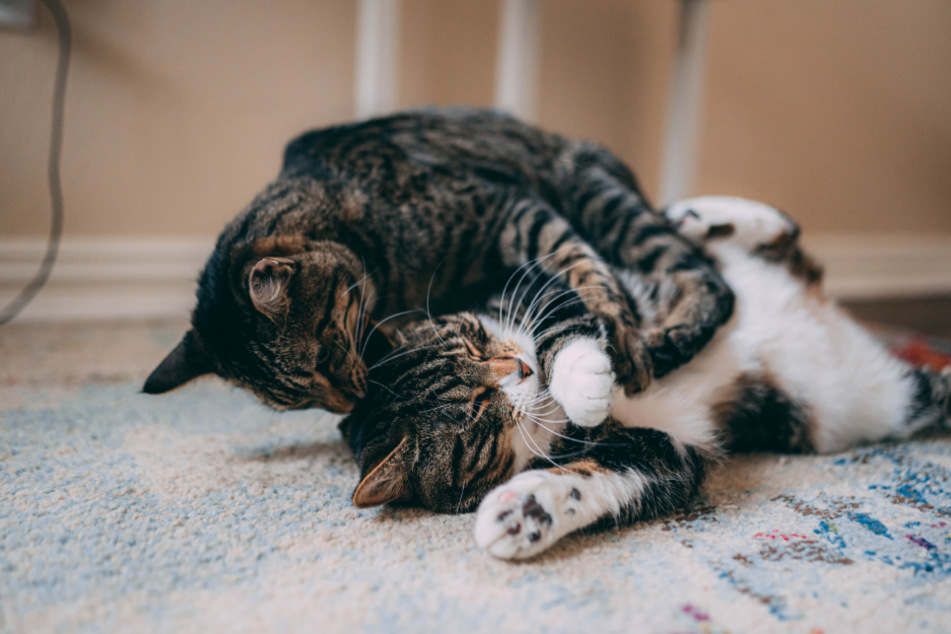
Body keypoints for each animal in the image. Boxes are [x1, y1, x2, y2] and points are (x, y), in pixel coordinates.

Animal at [143, 108, 736, 412]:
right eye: (301, 403)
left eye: (326, 356)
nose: (349, 403)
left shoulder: (510, 209)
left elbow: (579, 262)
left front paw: (616, 322)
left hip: (596, 195)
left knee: (708, 279)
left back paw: (666, 333)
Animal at [342, 194, 951, 556]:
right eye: (475, 413)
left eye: (474, 337)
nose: (522, 368)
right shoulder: (664, 449)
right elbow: (602, 478)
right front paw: (523, 512)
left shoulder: (539, 276)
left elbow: (566, 312)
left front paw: (582, 375)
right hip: (870, 404)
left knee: (778, 239)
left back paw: (700, 214)